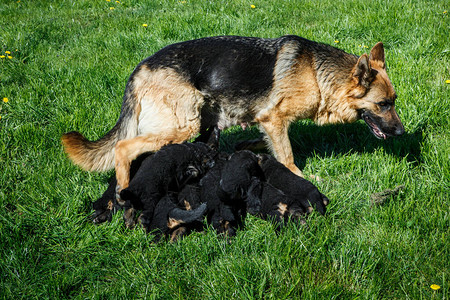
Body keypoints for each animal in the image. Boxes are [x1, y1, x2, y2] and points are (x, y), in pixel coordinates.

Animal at [60, 35, 404, 200]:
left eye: (394, 101)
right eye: (383, 104)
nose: (401, 133)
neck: (317, 74)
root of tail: (140, 69)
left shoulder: (266, 123)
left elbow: (262, 142)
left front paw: (247, 147)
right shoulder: (274, 119)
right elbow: (288, 156)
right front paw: (301, 178)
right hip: (182, 126)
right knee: (123, 148)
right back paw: (122, 192)